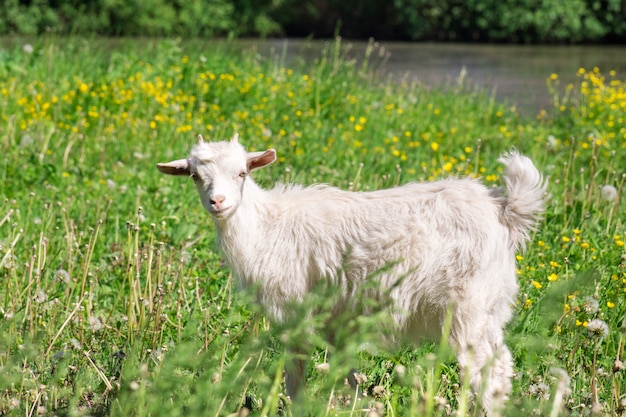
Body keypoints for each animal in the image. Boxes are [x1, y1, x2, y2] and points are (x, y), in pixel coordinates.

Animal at [157, 133, 544, 412]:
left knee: (485, 373)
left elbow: (296, 377)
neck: (267, 227)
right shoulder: (335, 319)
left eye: (242, 173)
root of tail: (503, 208)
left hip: (467, 306)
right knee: (501, 367)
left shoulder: (293, 310)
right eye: (195, 176)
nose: (218, 202)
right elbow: (347, 374)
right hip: (491, 306)